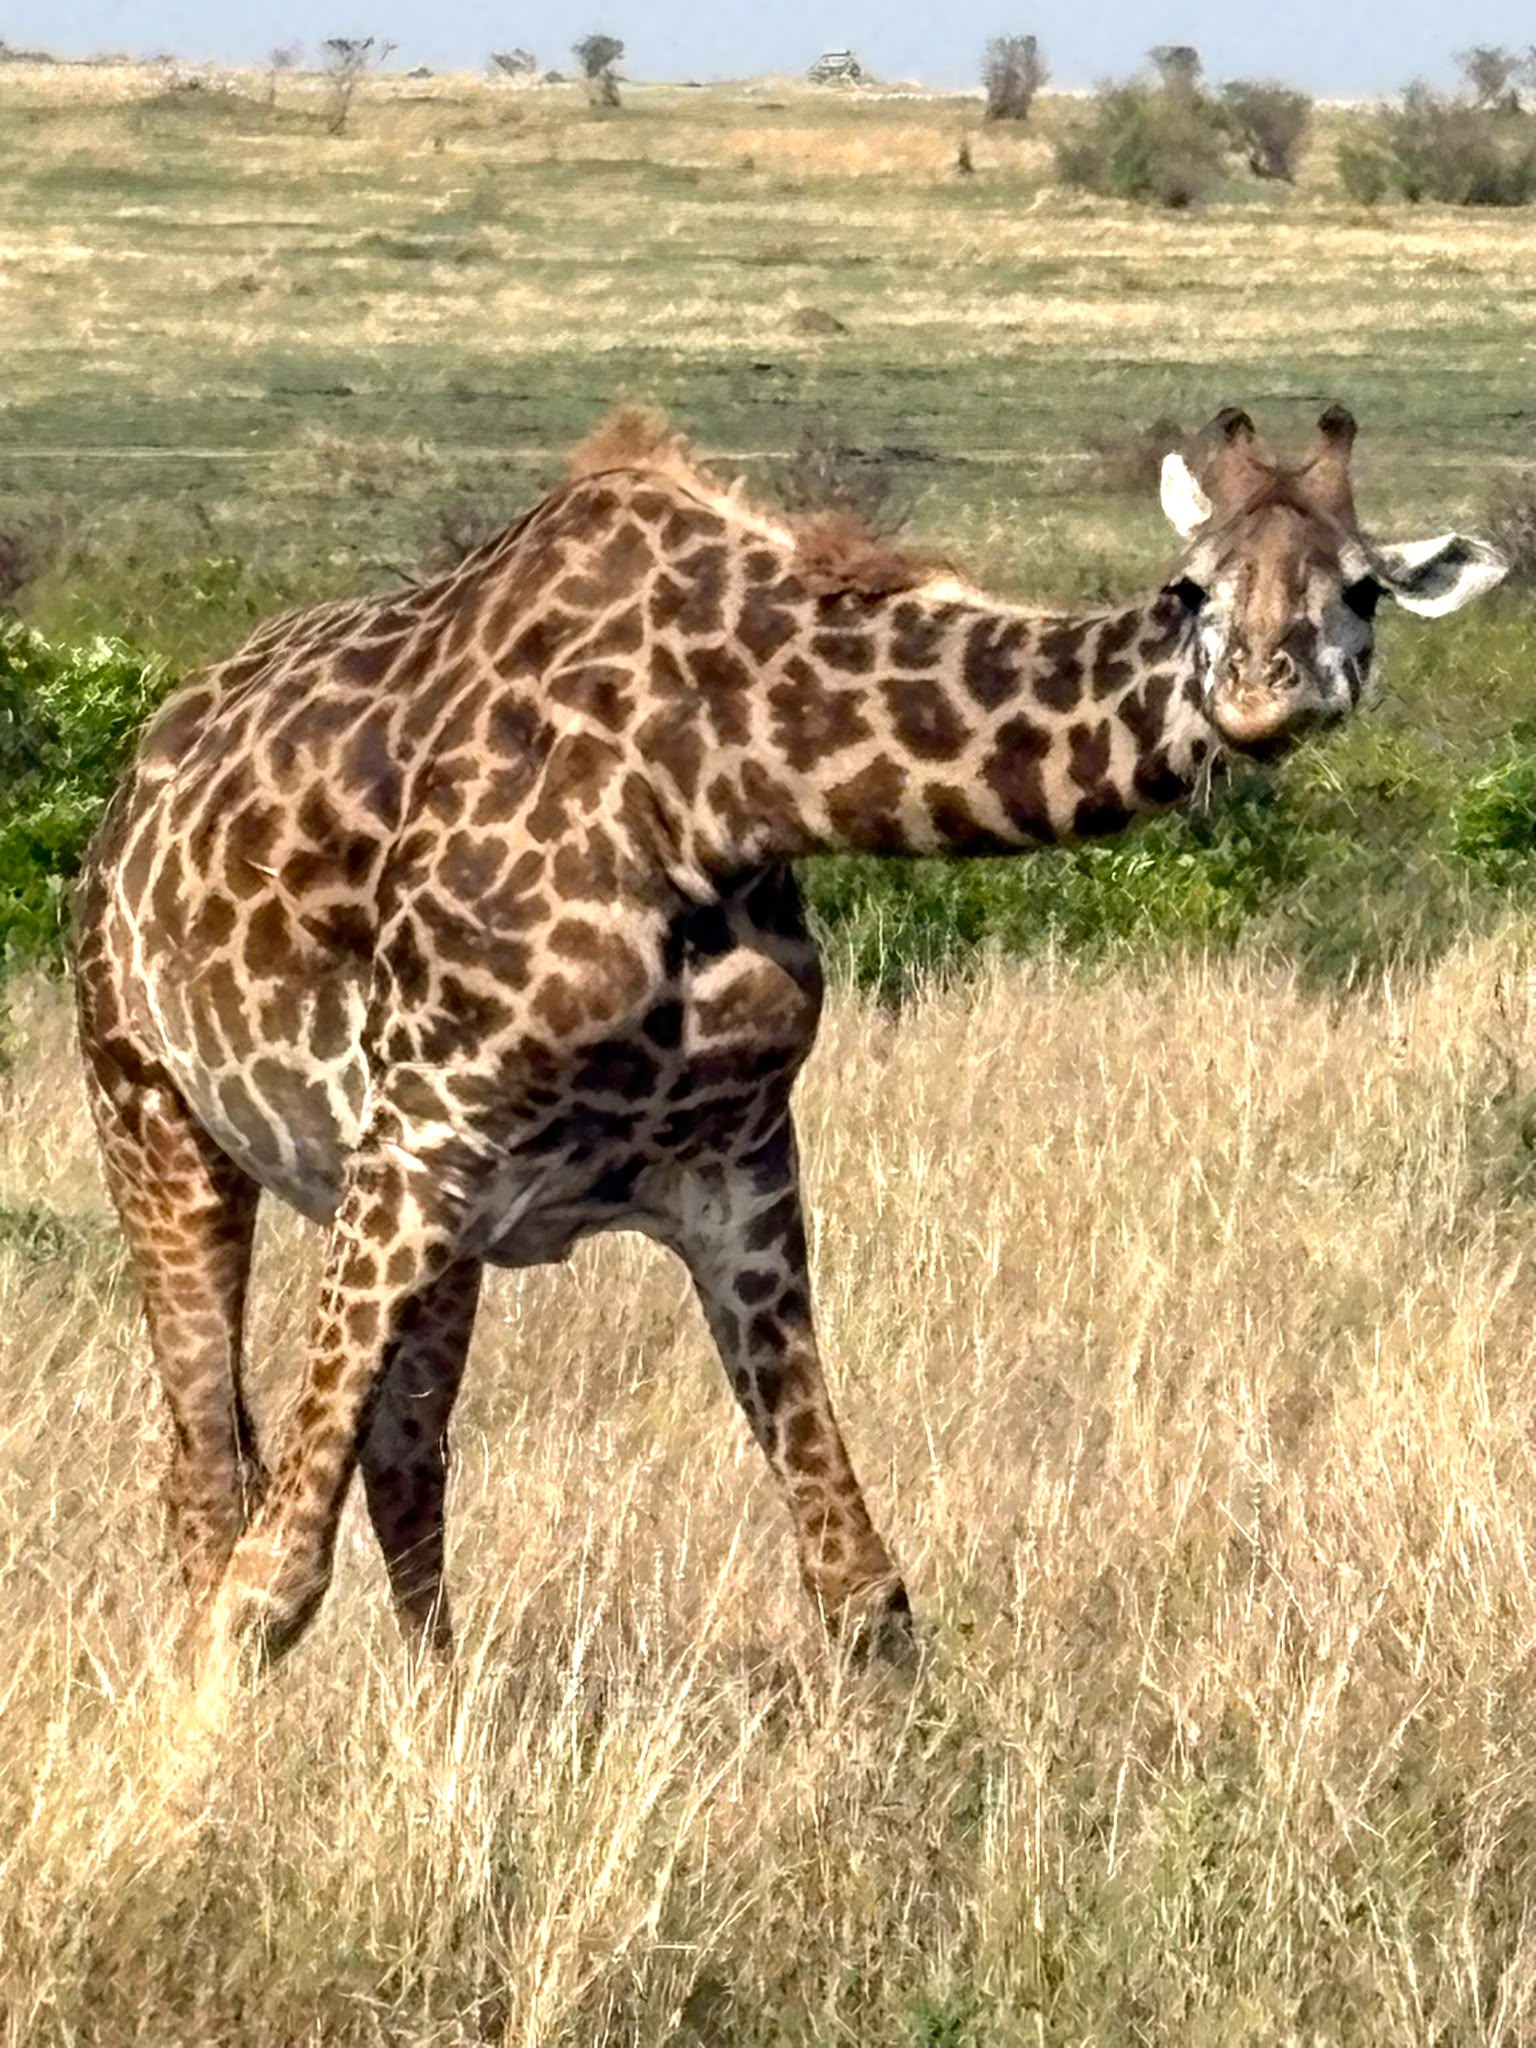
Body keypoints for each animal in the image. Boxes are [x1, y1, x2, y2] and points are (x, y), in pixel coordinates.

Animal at [73, 403, 1505, 1676]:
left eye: (1364, 591)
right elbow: (269, 1581)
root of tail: (134, 778)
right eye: (1188, 588)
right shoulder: (426, 1126)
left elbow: (861, 1586)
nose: (1261, 695)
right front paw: (186, 1783)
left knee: (403, 1464)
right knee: (210, 1470)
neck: (725, 775)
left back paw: (442, 1717)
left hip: (446, 1219)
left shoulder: (734, 1167)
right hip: (151, 1104)